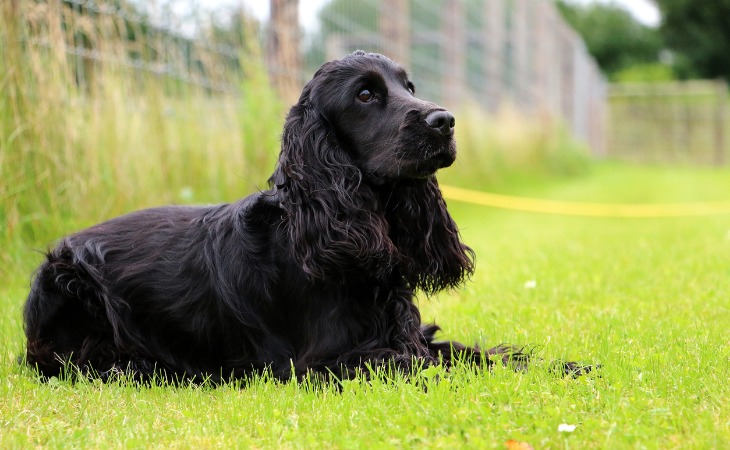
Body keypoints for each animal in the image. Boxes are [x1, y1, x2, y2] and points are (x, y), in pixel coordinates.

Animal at [21, 52, 490, 384]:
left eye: (408, 86)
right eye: (365, 95)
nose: (445, 121)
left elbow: (454, 351)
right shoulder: (316, 363)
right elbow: (414, 363)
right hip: (69, 286)